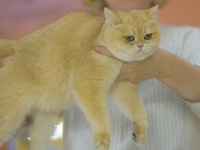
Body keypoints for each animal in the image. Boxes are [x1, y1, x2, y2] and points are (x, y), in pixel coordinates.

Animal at [0, 5, 160, 150]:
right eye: (129, 38)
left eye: (148, 36)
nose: (141, 45)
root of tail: (15, 44)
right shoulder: (86, 85)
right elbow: (99, 114)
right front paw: (103, 137)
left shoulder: (122, 89)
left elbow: (136, 107)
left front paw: (140, 130)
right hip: (8, 119)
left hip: (44, 122)